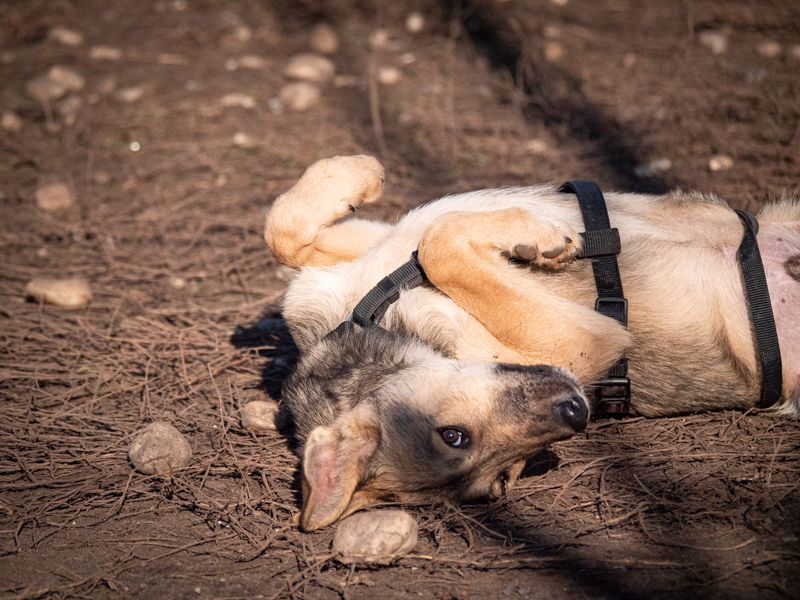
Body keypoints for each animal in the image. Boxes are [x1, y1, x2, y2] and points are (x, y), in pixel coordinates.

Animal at [264, 155, 800, 528]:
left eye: (451, 435)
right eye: (504, 479)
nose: (577, 412)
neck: (380, 315)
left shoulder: (373, 246)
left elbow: (284, 229)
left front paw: (361, 171)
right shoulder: (590, 339)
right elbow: (440, 245)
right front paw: (534, 237)